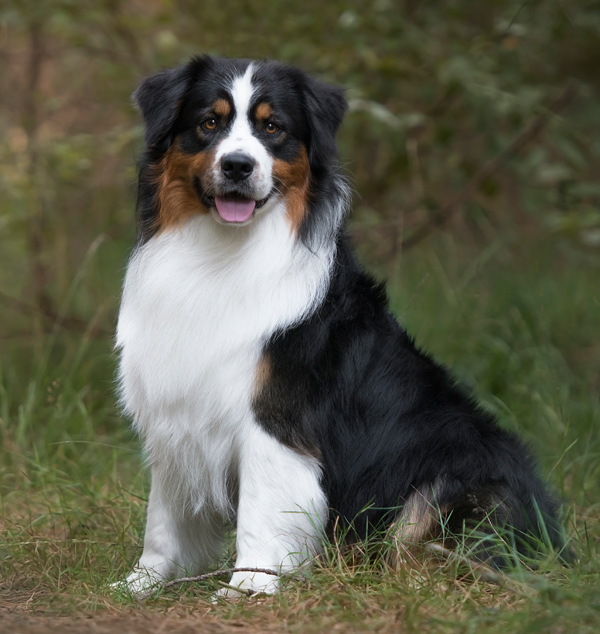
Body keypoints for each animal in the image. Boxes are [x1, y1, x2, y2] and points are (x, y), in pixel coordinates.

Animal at [115, 56, 568, 596]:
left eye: (273, 127)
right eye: (209, 122)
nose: (238, 166)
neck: (221, 254)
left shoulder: (276, 421)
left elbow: (260, 510)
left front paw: (250, 586)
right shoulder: (175, 410)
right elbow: (162, 518)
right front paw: (142, 582)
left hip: (460, 473)